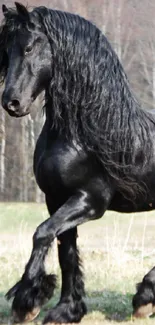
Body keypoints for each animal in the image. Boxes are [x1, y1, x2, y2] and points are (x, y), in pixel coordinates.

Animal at [0, 1, 155, 322]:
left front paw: (26, 301)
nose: (11, 102)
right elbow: (66, 252)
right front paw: (66, 309)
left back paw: (145, 298)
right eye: (5, 51)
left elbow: (42, 233)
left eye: (30, 47)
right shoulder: (56, 199)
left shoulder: (90, 201)